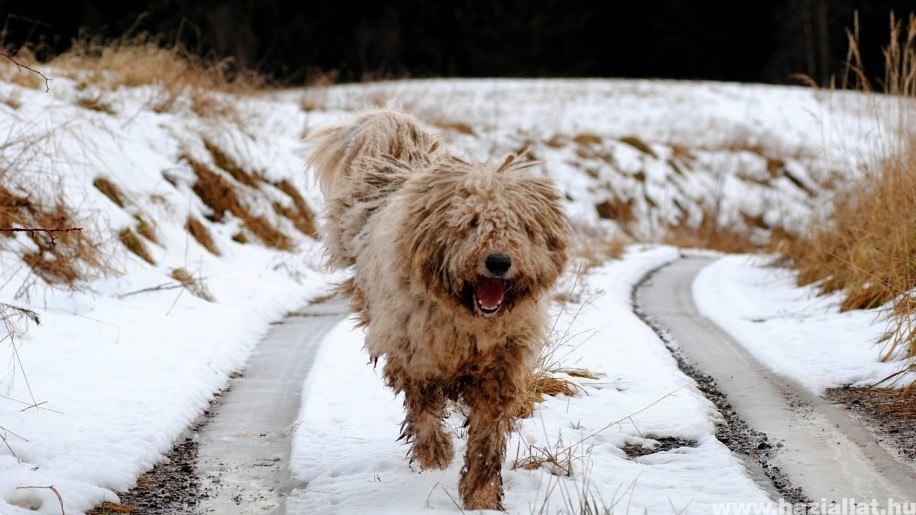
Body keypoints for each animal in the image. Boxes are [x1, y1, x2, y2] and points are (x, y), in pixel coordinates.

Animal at [308, 109, 564, 512]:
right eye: (471, 223)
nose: (499, 262)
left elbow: (488, 434)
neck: (468, 319)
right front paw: (434, 452)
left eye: (520, 227)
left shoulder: (502, 365)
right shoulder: (416, 353)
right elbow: (424, 407)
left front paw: (481, 492)